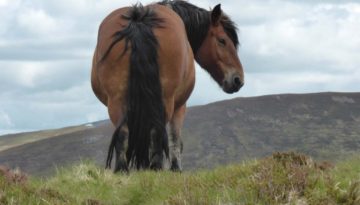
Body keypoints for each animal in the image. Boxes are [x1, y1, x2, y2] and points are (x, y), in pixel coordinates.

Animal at [90, 0, 245, 172]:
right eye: (222, 40)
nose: (238, 79)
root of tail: (139, 19)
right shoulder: (180, 106)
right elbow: (175, 139)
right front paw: (175, 168)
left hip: (117, 101)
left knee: (123, 134)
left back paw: (122, 170)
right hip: (165, 101)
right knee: (156, 133)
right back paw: (156, 167)